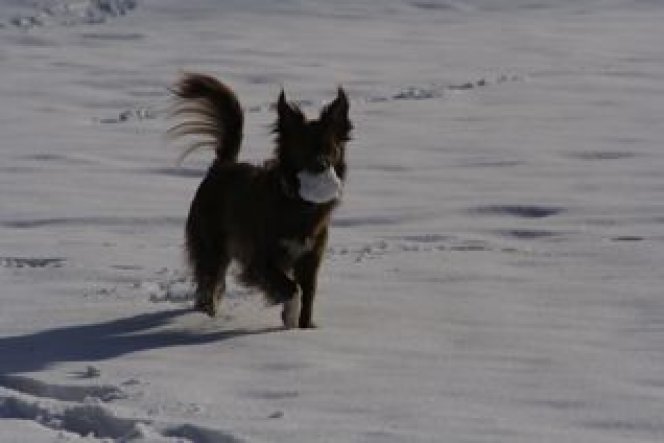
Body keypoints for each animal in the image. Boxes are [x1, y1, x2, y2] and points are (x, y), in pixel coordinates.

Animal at [169, 73, 350, 330]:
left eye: (331, 147)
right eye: (303, 147)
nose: (321, 165)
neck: (299, 204)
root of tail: (222, 165)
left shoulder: (311, 259)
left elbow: (308, 294)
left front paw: (304, 328)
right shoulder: (259, 261)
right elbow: (292, 289)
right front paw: (290, 318)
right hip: (211, 247)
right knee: (208, 284)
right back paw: (206, 315)